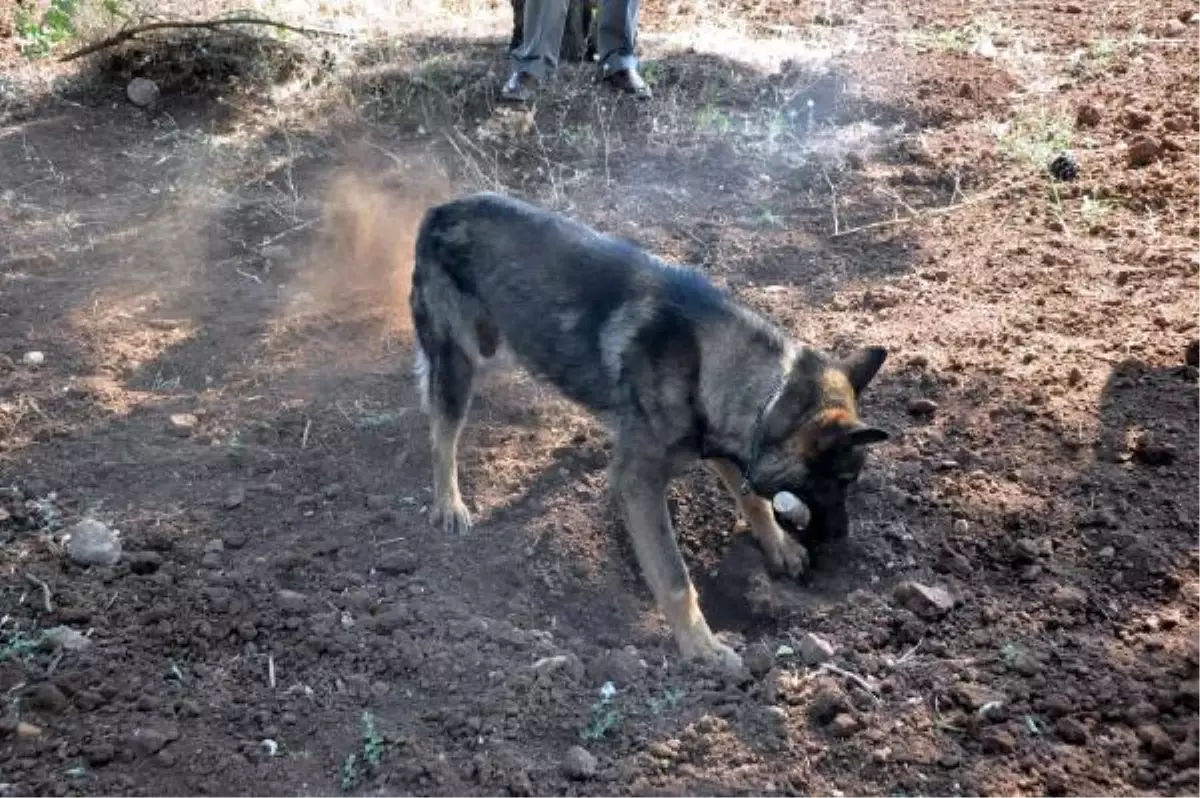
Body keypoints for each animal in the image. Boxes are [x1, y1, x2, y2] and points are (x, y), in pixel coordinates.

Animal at [408, 193, 888, 672]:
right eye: (843, 480)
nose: (842, 538)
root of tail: (442, 209)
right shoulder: (639, 484)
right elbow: (675, 576)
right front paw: (701, 647)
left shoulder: (722, 444)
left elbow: (754, 501)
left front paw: (780, 545)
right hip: (459, 362)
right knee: (440, 434)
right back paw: (449, 502)